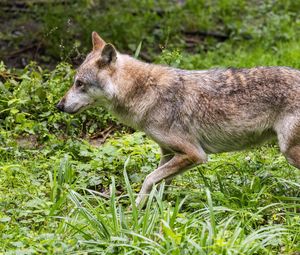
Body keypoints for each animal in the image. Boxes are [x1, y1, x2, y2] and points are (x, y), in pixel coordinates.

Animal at [56, 31, 300, 207]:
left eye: (79, 83)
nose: (59, 105)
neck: (144, 92)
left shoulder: (194, 154)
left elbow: (148, 179)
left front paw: (134, 212)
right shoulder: (169, 154)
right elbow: (159, 184)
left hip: (288, 152)